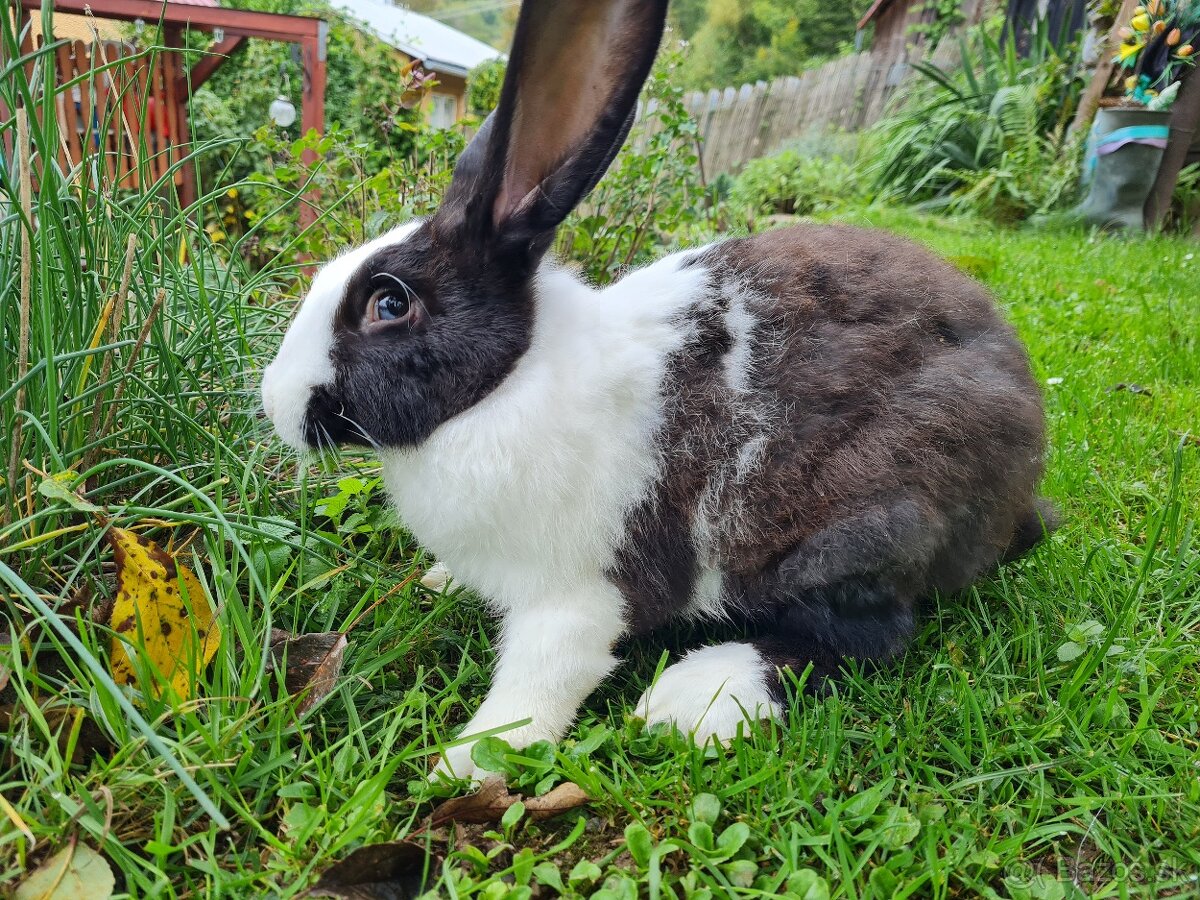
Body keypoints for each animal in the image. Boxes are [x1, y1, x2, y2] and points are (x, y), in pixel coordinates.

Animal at [260, 0, 1051, 782]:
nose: (274, 401)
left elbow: (539, 681)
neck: (502, 385)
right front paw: (440, 583)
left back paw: (698, 696)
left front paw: (466, 765)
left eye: (389, 304)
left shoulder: (581, 596)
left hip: (862, 531)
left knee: (866, 640)